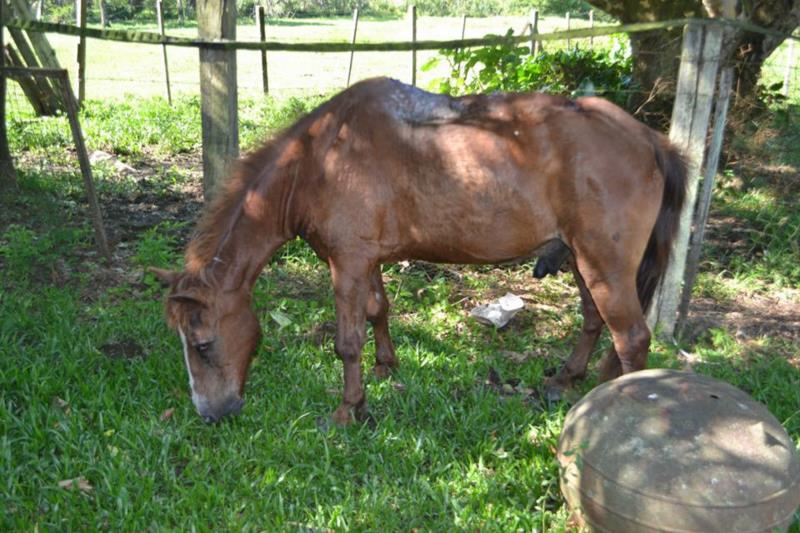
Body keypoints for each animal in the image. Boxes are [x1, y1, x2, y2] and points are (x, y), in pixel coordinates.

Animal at [150, 76, 688, 424]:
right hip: (581, 258)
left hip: (604, 265)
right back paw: (570, 382)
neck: (319, 160)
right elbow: (378, 310)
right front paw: (386, 369)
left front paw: (348, 410)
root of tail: (649, 138)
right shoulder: (364, 260)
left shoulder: (346, 263)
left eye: (202, 345)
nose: (211, 414)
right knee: (595, 320)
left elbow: (347, 341)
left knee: (631, 338)